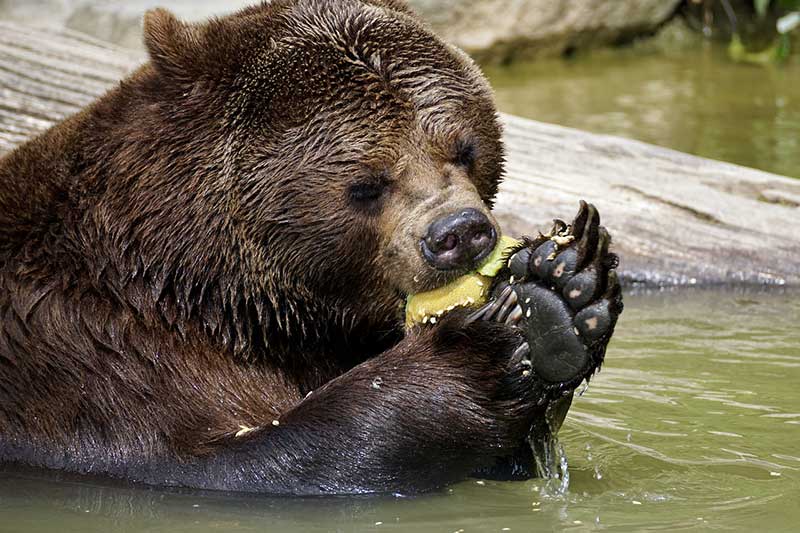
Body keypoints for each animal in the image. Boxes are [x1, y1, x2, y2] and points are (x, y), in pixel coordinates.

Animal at [0, 0, 620, 495]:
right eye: (367, 183)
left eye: (465, 148)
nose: (460, 232)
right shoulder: (88, 355)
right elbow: (235, 458)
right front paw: (474, 352)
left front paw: (565, 288)